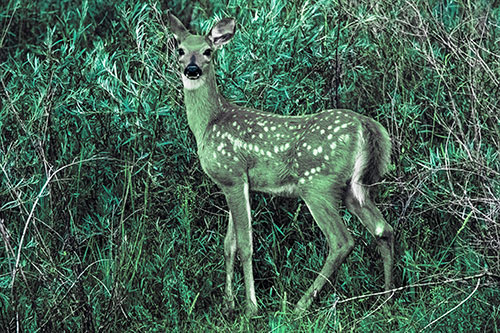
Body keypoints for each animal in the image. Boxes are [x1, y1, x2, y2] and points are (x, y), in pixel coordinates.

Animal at [168, 13, 394, 314]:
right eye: (180, 50)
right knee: (383, 229)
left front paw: (251, 307)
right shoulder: (234, 183)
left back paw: (299, 307)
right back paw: (388, 298)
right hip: (354, 188)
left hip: (317, 183)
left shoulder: (233, 174)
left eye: (207, 51)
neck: (208, 123)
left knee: (342, 241)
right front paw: (228, 304)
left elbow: (246, 244)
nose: (191, 69)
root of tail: (365, 126)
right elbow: (228, 244)